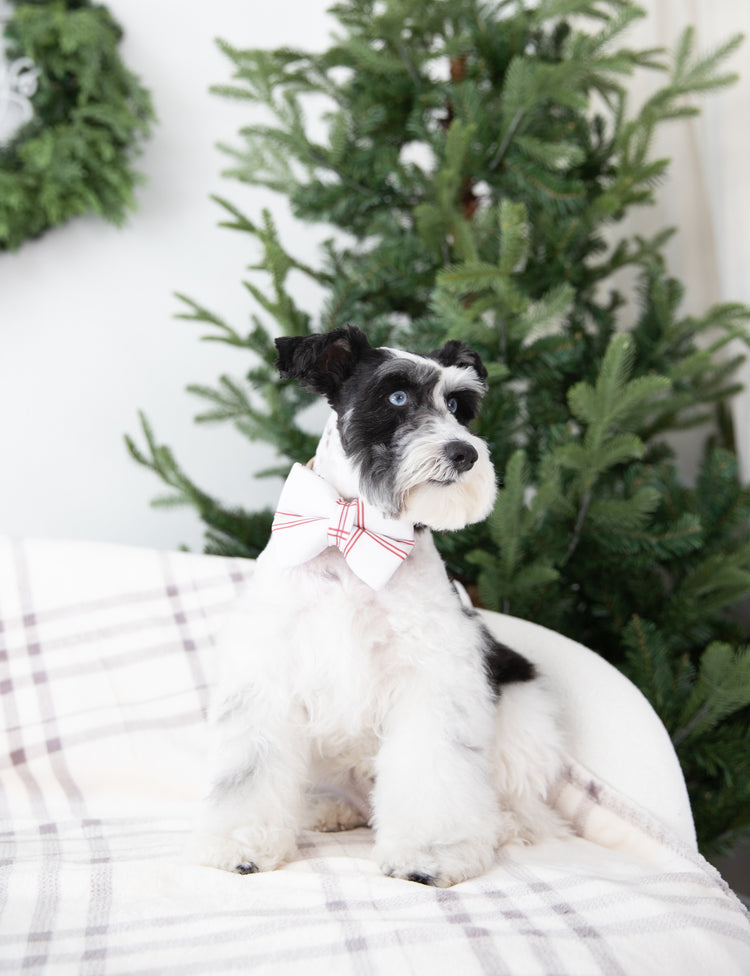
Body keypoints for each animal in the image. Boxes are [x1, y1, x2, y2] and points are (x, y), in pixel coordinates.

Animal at [191, 326, 568, 884]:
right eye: (396, 397)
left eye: (457, 405)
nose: (465, 453)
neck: (351, 534)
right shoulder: (267, 672)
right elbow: (248, 771)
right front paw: (240, 843)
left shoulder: (432, 679)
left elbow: (434, 772)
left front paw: (430, 855)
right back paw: (329, 810)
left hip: (523, 712)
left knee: (523, 803)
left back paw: (501, 826)